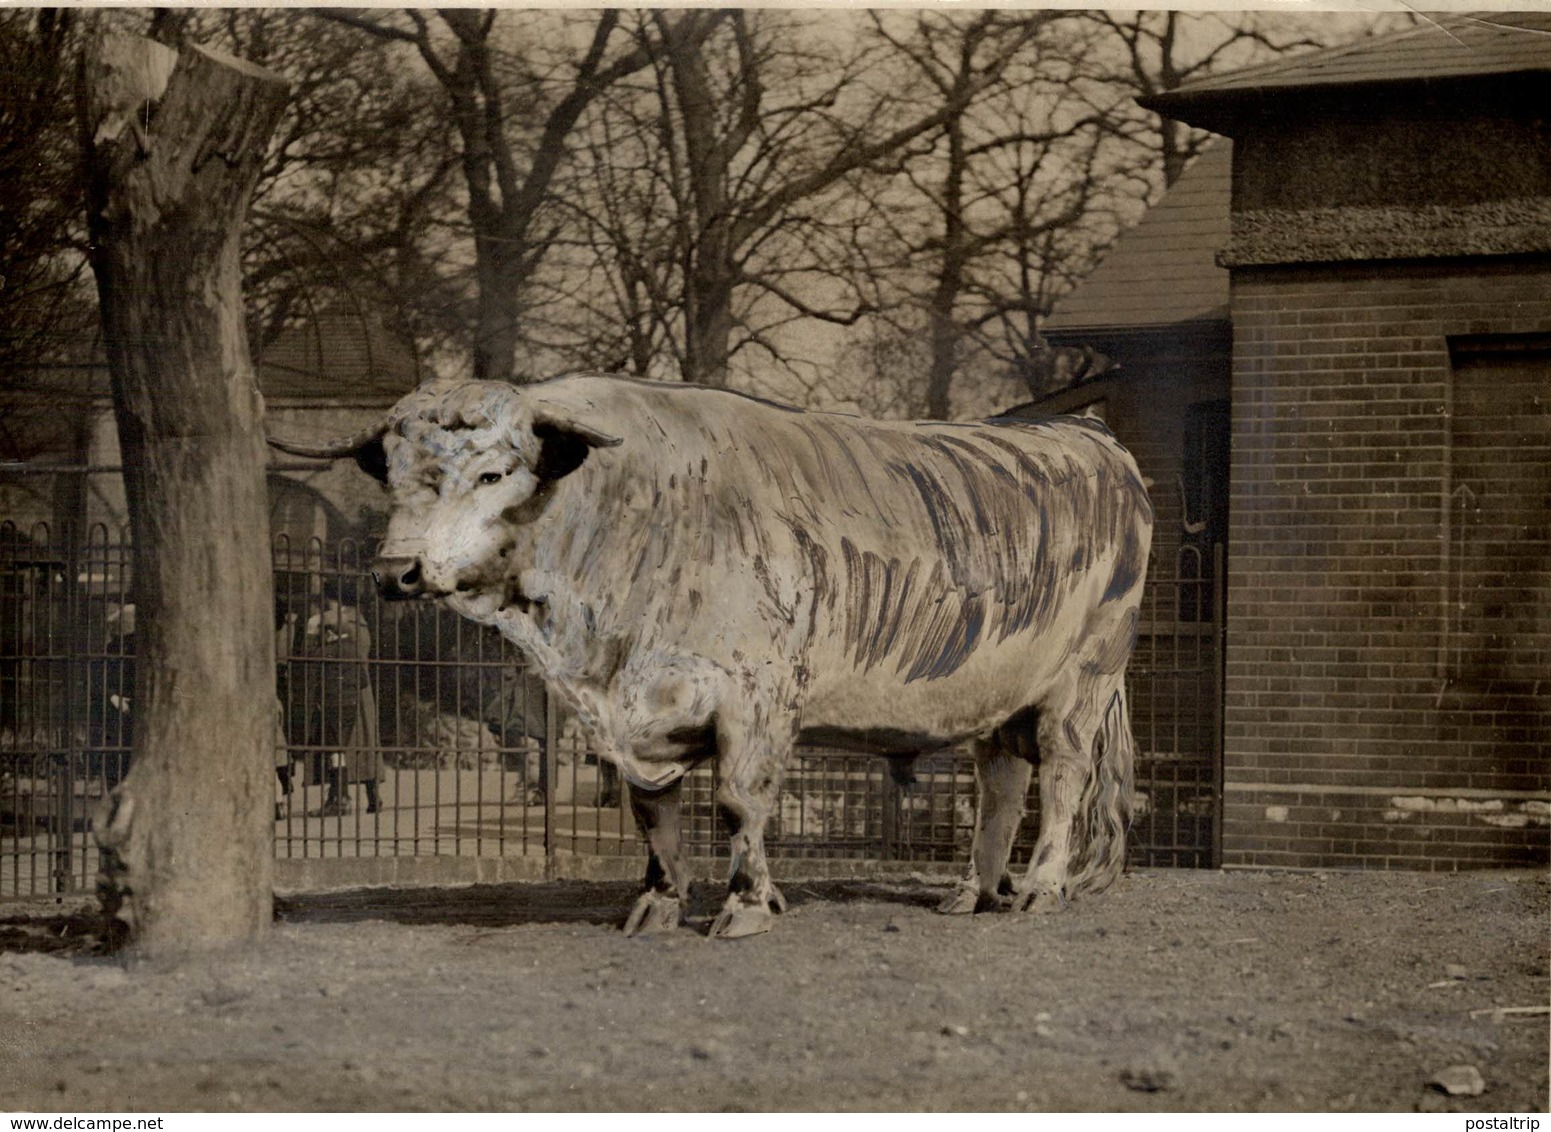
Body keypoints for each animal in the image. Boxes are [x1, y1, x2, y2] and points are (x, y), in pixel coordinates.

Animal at [272, 375, 1153, 930]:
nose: (395, 570)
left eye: (493, 473)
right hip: (1001, 694)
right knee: (1001, 784)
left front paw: (747, 907)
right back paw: (971, 892)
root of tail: (1086, 435)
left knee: (1062, 779)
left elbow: (736, 802)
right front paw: (658, 904)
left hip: (1081, 681)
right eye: (390, 477)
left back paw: (1038, 889)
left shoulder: (756, 699)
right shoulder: (629, 718)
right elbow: (652, 813)